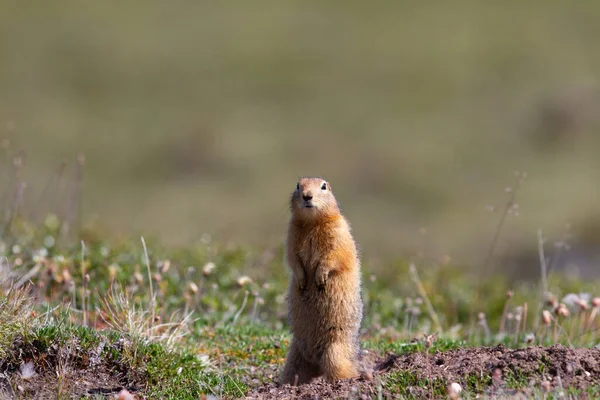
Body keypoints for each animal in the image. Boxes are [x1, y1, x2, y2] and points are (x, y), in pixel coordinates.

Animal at [278, 176, 364, 384]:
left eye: (324, 186)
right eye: (298, 185)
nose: (307, 196)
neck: (311, 223)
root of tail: (315, 360)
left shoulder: (339, 231)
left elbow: (334, 255)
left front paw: (320, 277)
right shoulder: (291, 234)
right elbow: (292, 257)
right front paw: (302, 280)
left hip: (335, 351)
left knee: (343, 370)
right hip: (294, 357)